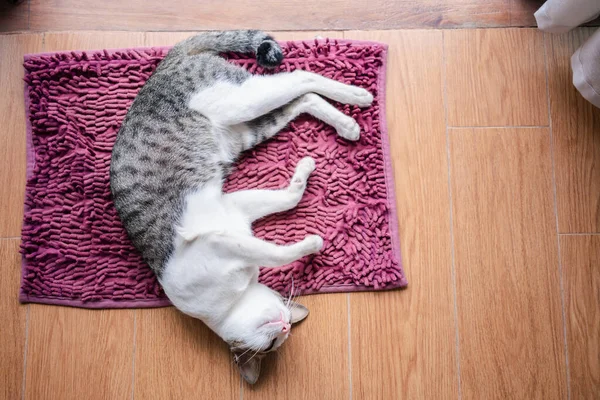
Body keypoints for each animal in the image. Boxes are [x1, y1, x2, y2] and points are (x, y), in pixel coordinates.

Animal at [108, 29, 370, 382]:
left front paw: (311, 243)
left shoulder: (221, 241)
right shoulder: (235, 211)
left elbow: (273, 252)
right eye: (273, 344)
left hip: (238, 103)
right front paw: (305, 189)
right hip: (247, 130)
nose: (285, 325)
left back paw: (357, 95)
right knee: (304, 99)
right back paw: (346, 124)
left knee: (301, 76)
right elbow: (286, 208)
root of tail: (166, 63)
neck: (237, 292)